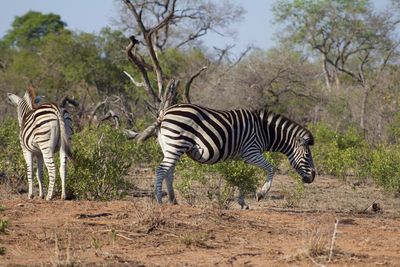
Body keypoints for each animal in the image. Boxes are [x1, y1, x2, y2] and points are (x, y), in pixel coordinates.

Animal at [155, 103, 314, 208]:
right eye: (307, 155)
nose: (312, 178)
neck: (265, 131)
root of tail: (165, 112)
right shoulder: (251, 152)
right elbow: (271, 168)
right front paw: (261, 194)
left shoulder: (243, 156)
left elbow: (244, 177)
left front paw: (242, 203)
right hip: (176, 144)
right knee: (161, 169)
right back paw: (159, 199)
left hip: (169, 147)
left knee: (169, 172)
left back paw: (173, 200)